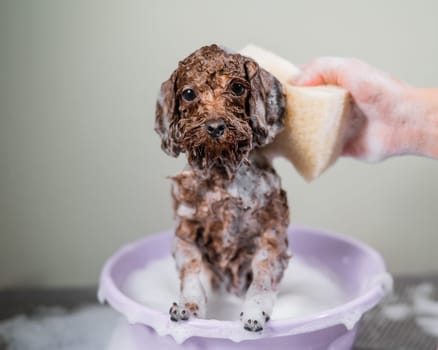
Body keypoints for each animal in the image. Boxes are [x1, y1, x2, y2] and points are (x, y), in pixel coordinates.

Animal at [155, 43, 290, 330]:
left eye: (237, 87)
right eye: (189, 93)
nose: (215, 127)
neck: (223, 180)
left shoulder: (271, 235)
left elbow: (262, 280)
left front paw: (255, 311)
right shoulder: (186, 234)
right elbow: (192, 272)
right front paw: (187, 305)